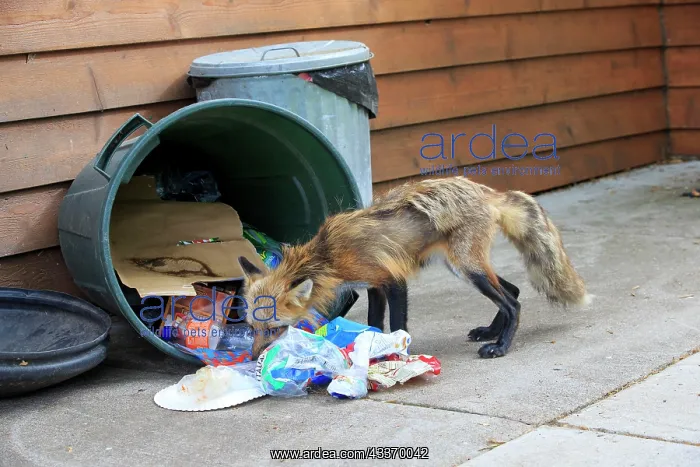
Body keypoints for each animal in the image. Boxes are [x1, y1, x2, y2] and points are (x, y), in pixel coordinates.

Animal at [237, 176, 591, 359]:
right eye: (252, 328)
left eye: (275, 329)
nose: (253, 358)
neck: (329, 258)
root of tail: (488, 192)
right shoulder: (373, 286)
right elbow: (374, 323)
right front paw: (373, 351)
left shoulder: (392, 281)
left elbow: (397, 324)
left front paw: (397, 354)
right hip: (462, 267)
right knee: (513, 290)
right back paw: (490, 332)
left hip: (469, 269)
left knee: (513, 302)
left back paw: (501, 346)